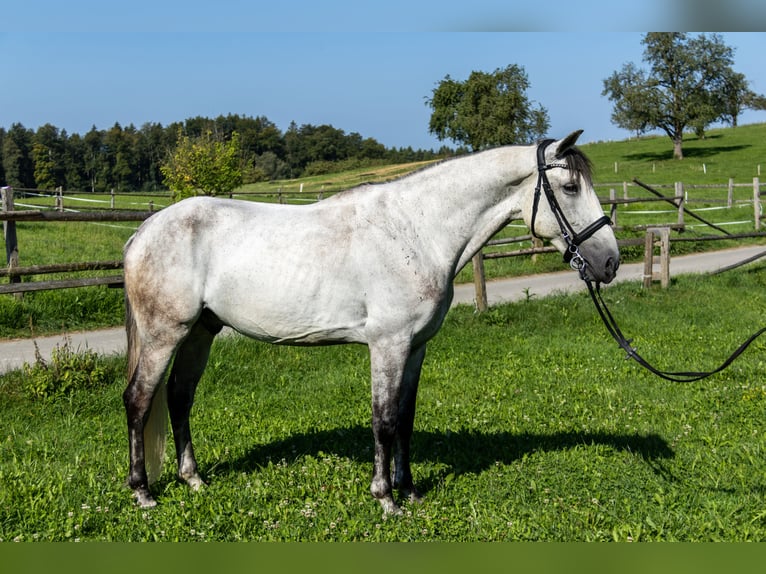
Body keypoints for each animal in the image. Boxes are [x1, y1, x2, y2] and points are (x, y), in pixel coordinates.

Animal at [121, 130, 624, 516]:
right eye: (571, 188)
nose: (610, 262)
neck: (418, 230)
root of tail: (144, 231)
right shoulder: (388, 344)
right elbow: (382, 419)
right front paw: (385, 499)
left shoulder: (416, 347)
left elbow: (404, 418)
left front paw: (411, 489)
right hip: (165, 335)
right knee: (139, 400)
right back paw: (143, 493)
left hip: (200, 333)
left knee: (179, 398)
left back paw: (192, 480)